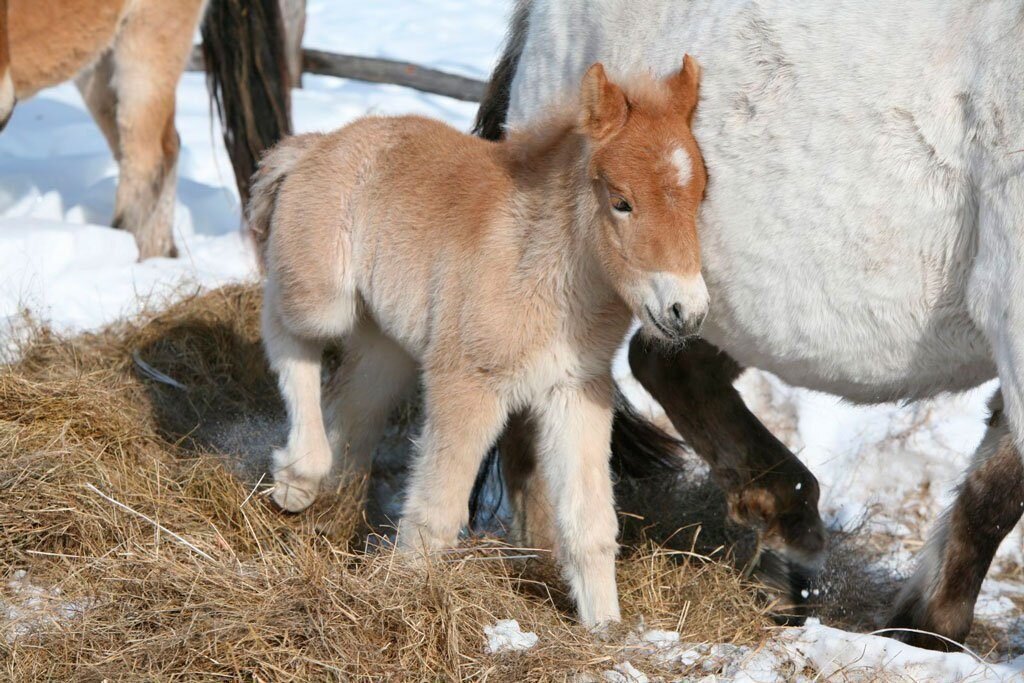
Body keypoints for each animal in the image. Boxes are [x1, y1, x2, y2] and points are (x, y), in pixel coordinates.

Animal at [251, 56, 708, 626]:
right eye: (621, 202)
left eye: (701, 196)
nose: (686, 311)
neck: (542, 270)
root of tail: (317, 143)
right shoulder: (468, 382)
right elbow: (435, 512)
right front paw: (403, 604)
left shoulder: (575, 391)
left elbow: (590, 524)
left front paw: (605, 629)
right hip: (324, 300)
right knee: (283, 327)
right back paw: (296, 479)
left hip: (388, 345)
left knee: (353, 403)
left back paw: (324, 494)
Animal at [477, 0, 1024, 651]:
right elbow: (996, 496)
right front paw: (926, 630)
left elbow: (993, 488)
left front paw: (924, 626)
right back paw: (542, 563)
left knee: (668, 367)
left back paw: (788, 541)